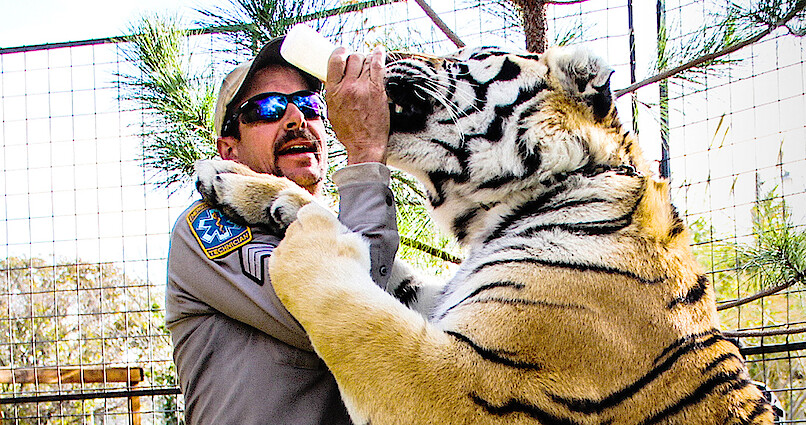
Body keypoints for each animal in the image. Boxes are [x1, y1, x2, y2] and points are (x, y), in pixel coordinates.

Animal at [196, 45, 776, 424]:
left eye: (465, 57)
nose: (384, 53)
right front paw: (237, 181)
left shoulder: (466, 383)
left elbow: (349, 312)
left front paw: (315, 232)